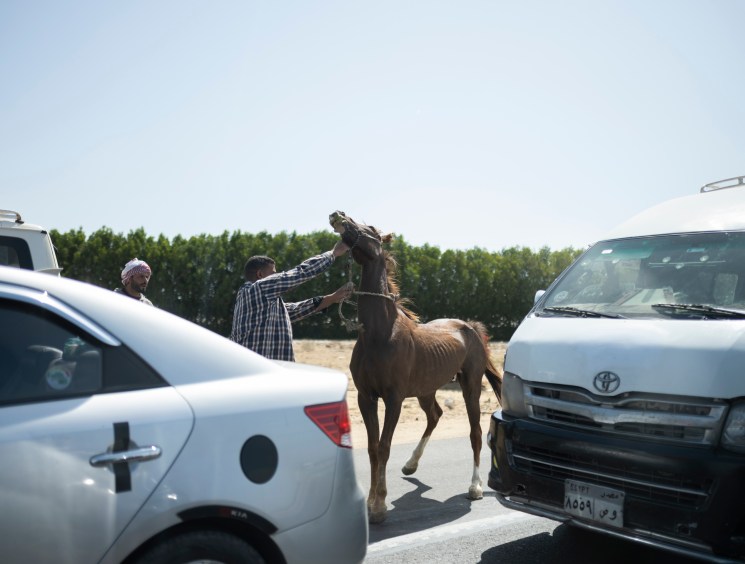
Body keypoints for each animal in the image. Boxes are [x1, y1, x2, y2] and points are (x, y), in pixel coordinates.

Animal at [329, 210, 503, 524]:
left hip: (470, 386)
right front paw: (371, 501)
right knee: (435, 415)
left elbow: (384, 446)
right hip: (426, 390)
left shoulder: (394, 399)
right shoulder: (365, 397)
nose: (339, 215)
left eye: (370, 227)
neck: (379, 333)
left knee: (475, 432)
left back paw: (474, 487)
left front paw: (379, 505)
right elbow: (372, 448)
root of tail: (471, 327)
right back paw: (411, 464)